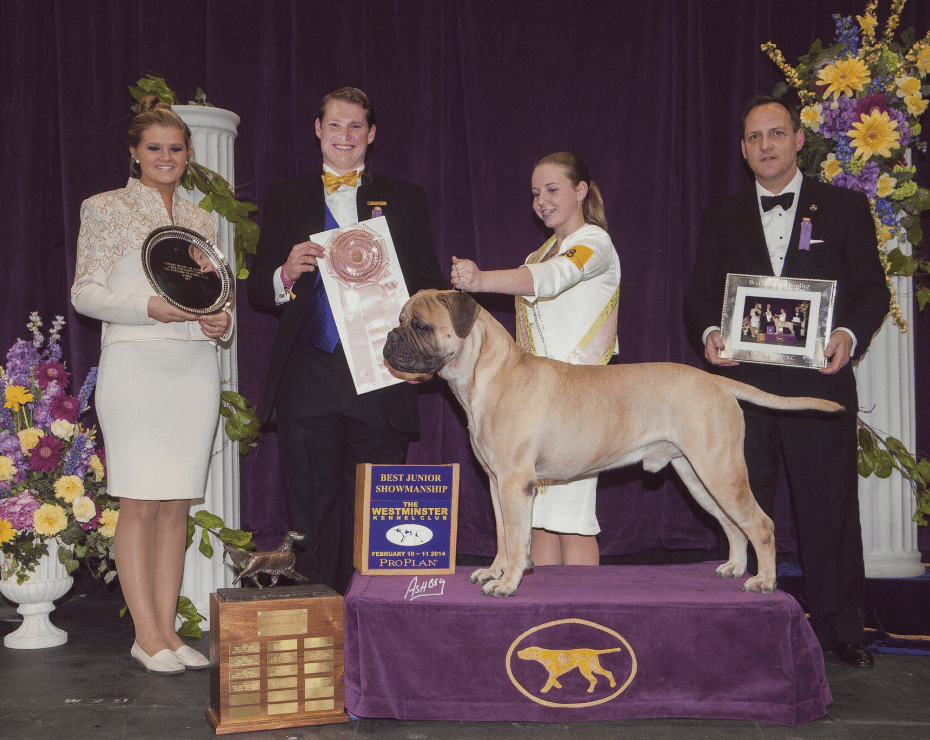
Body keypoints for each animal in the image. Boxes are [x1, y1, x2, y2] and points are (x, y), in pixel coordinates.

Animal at [380, 292, 836, 600]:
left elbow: (516, 536)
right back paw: (735, 567)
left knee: (760, 524)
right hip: (697, 476)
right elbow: (504, 535)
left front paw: (507, 583)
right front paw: (495, 572)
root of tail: (717, 382)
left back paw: (765, 580)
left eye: (419, 325)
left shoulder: (513, 484)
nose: (389, 336)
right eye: (399, 318)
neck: (484, 373)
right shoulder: (496, 483)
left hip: (720, 470)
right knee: (732, 525)